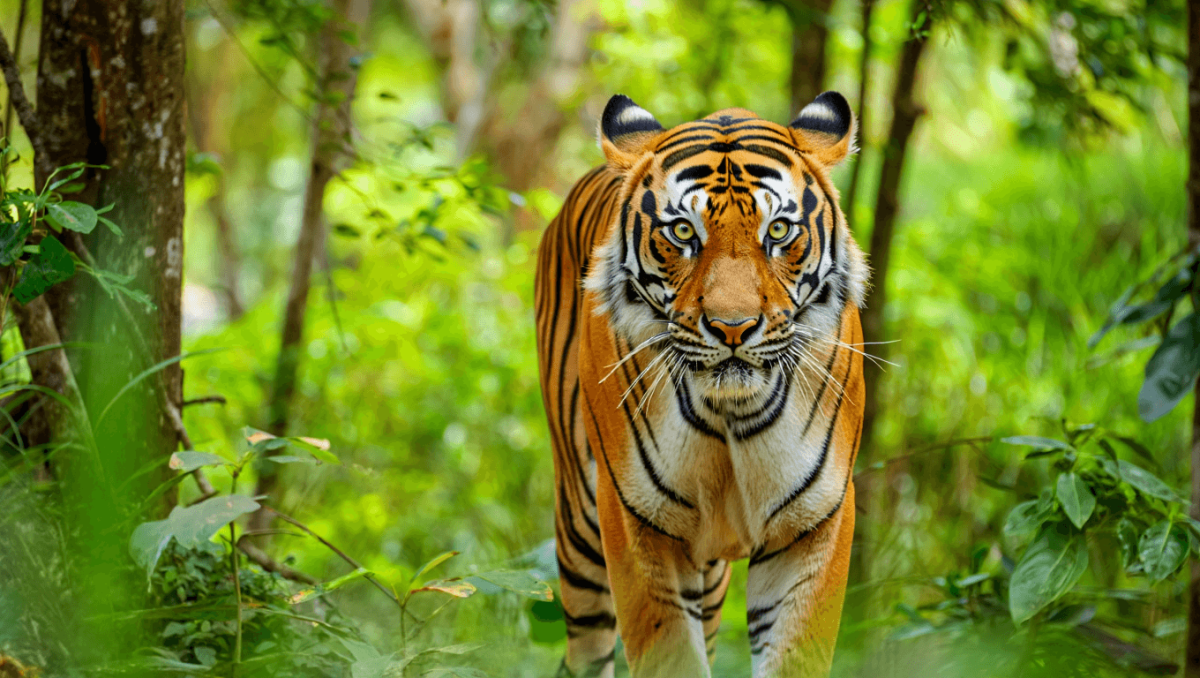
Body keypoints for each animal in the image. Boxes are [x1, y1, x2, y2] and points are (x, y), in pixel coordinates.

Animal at [535, 91, 867, 678]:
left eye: (777, 231)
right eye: (683, 233)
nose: (733, 327)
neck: (730, 410)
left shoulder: (814, 523)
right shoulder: (638, 522)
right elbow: (668, 652)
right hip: (580, 527)